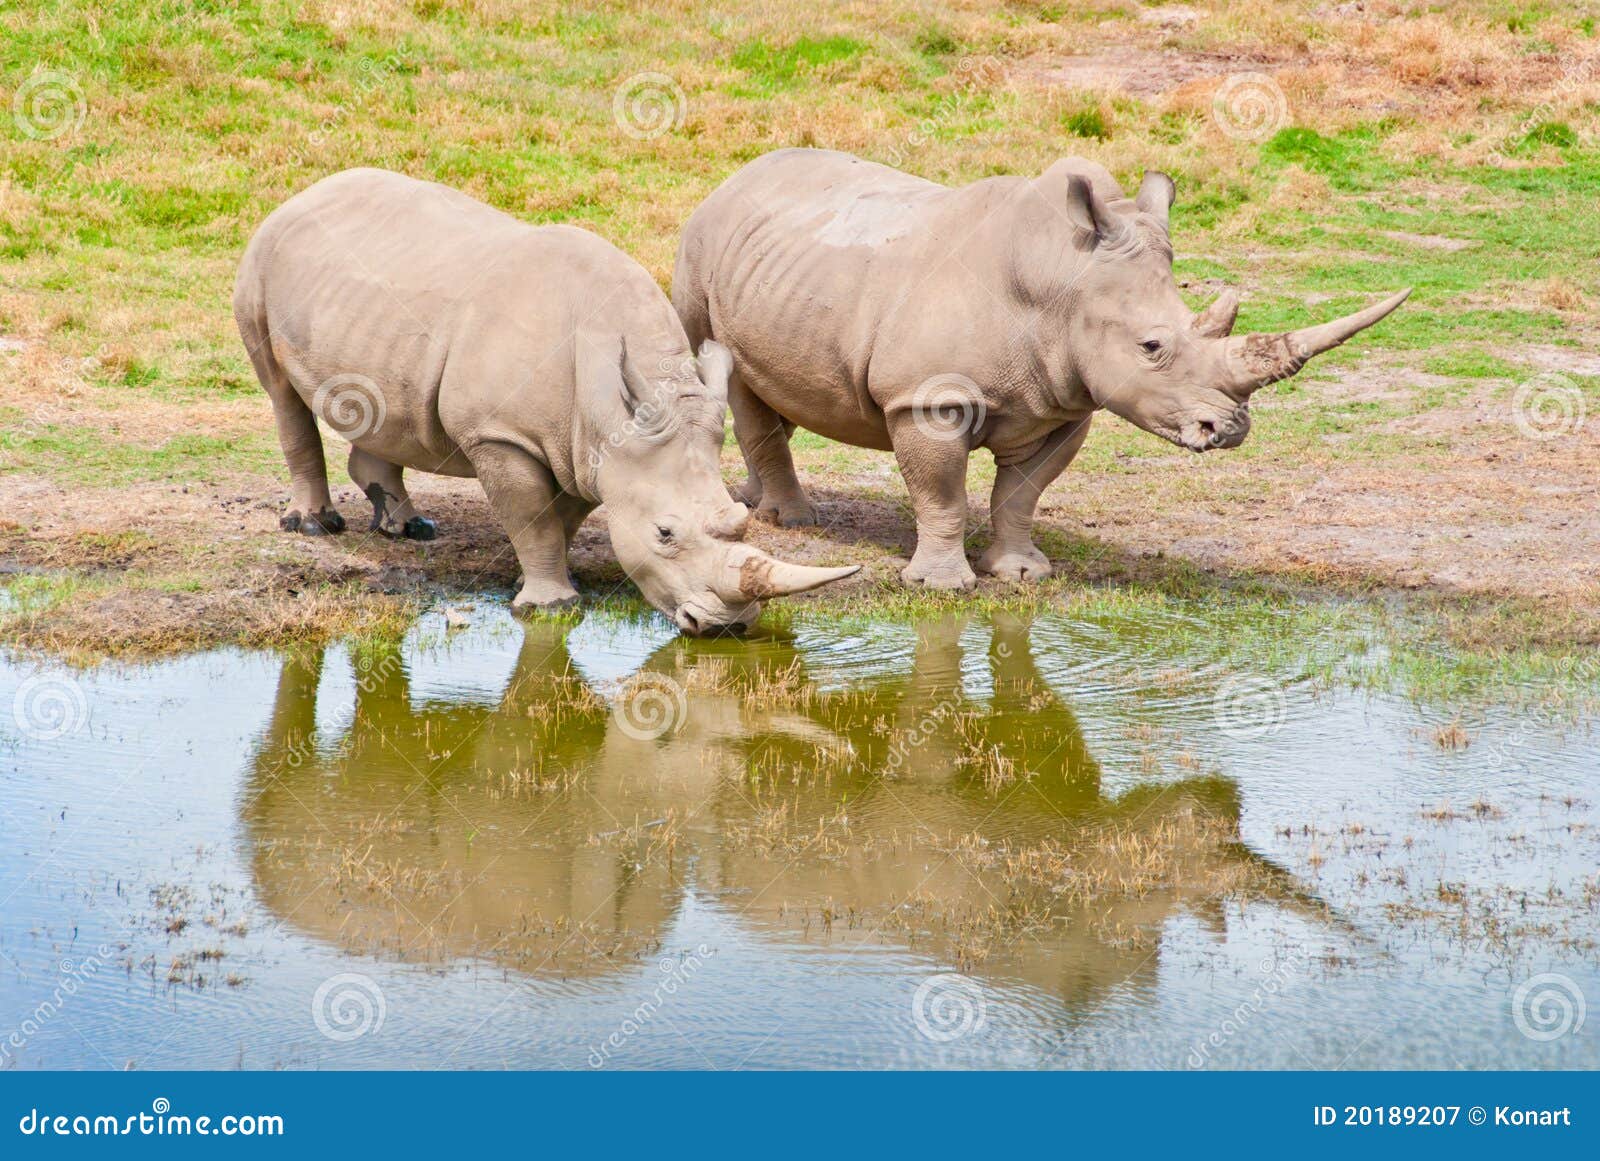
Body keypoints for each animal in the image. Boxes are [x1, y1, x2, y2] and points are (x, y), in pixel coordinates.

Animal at [233, 170, 857, 636]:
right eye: (664, 534)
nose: (728, 626)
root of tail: (305, 194)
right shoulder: (499, 434)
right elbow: (530, 514)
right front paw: (551, 606)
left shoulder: (586, 445)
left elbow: (563, 516)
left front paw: (533, 584)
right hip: (260, 259)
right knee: (281, 394)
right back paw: (314, 527)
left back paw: (409, 529)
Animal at [675, 148, 1414, 591]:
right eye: (1152, 347)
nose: (1228, 429)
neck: (1063, 282)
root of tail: (737, 175)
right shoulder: (926, 397)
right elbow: (941, 493)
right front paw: (943, 585)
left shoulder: (1067, 398)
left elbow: (1022, 492)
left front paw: (1022, 573)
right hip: (699, 246)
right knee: (725, 367)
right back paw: (793, 522)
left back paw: (753, 503)